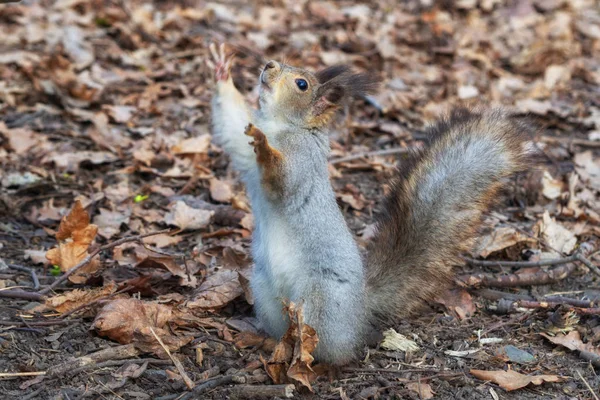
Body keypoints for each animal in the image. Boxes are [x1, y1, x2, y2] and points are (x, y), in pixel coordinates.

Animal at [207, 43, 536, 366]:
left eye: (302, 84)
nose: (269, 65)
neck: (282, 126)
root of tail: (360, 308)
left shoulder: (302, 160)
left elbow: (284, 181)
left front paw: (265, 149)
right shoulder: (245, 140)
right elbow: (233, 129)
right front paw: (222, 72)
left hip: (322, 302)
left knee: (332, 351)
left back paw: (308, 359)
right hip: (265, 293)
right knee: (282, 330)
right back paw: (270, 344)